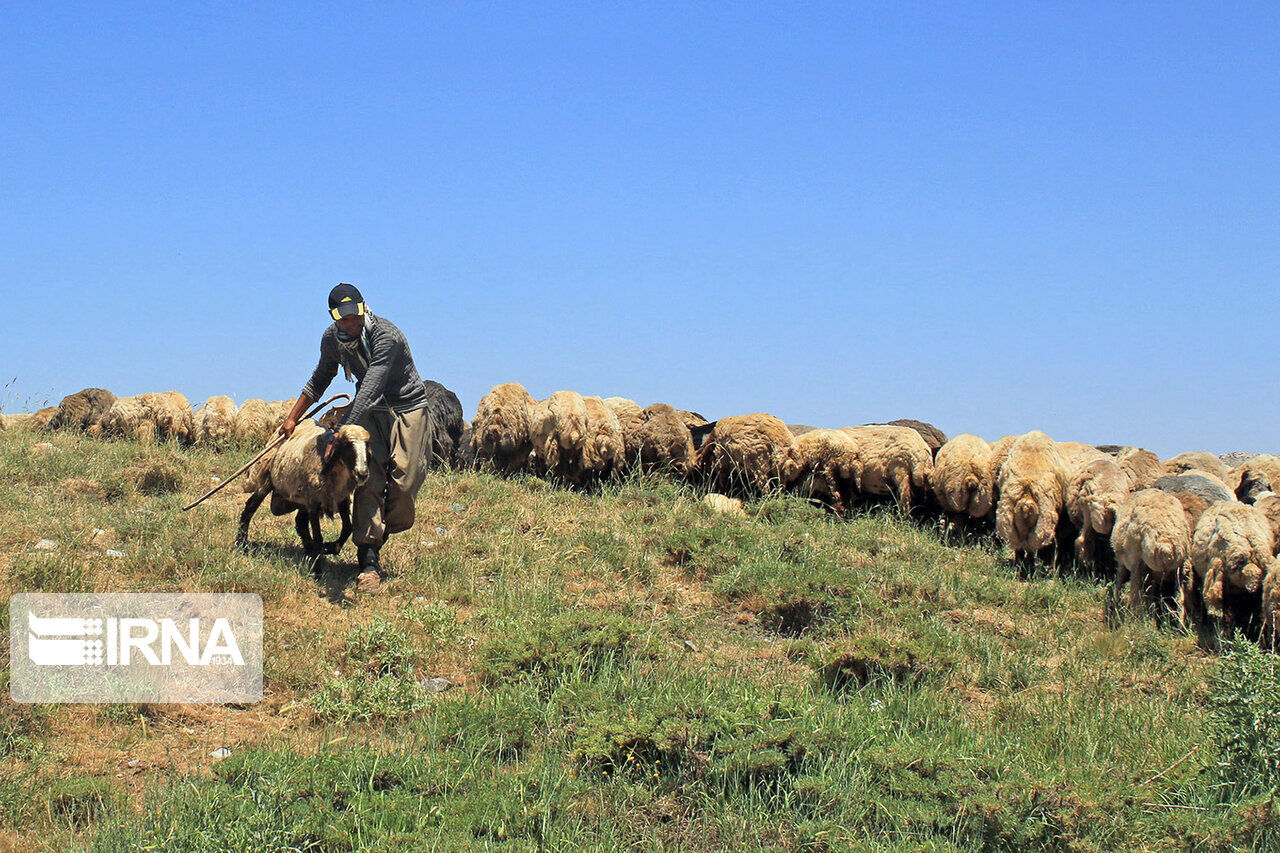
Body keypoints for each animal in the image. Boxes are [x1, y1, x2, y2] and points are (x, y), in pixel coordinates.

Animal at [235, 414, 371, 568]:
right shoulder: (313, 502)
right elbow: (318, 537)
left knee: (300, 522)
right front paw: (317, 569)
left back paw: (309, 550)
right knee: (250, 507)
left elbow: (348, 528)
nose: (362, 474)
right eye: (347, 445)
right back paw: (241, 544)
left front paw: (330, 548)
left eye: (367, 446)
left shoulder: (341, 498)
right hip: (267, 481)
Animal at [1111, 484, 1187, 617]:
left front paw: (1116, 602)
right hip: (1179, 569)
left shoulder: (1122, 561)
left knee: (1136, 595)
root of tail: (1165, 543)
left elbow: (1120, 580)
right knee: (1180, 600)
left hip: (1137, 563)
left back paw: (1136, 618)